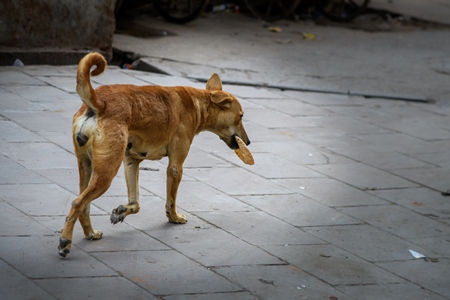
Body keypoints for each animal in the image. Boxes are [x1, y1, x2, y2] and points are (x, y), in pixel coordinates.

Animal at [58, 52, 251, 258]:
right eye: (241, 116)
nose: (248, 143)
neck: (197, 103)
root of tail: (100, 103)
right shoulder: (175, 167)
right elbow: (171, 200)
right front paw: (174, 217)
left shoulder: (131, 162)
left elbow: (136, 203)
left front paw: (121, 211)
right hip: (106, 174)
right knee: (77, 203)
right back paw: (65, 242)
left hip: (87, 167)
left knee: (83, 205)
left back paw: (90, 233)